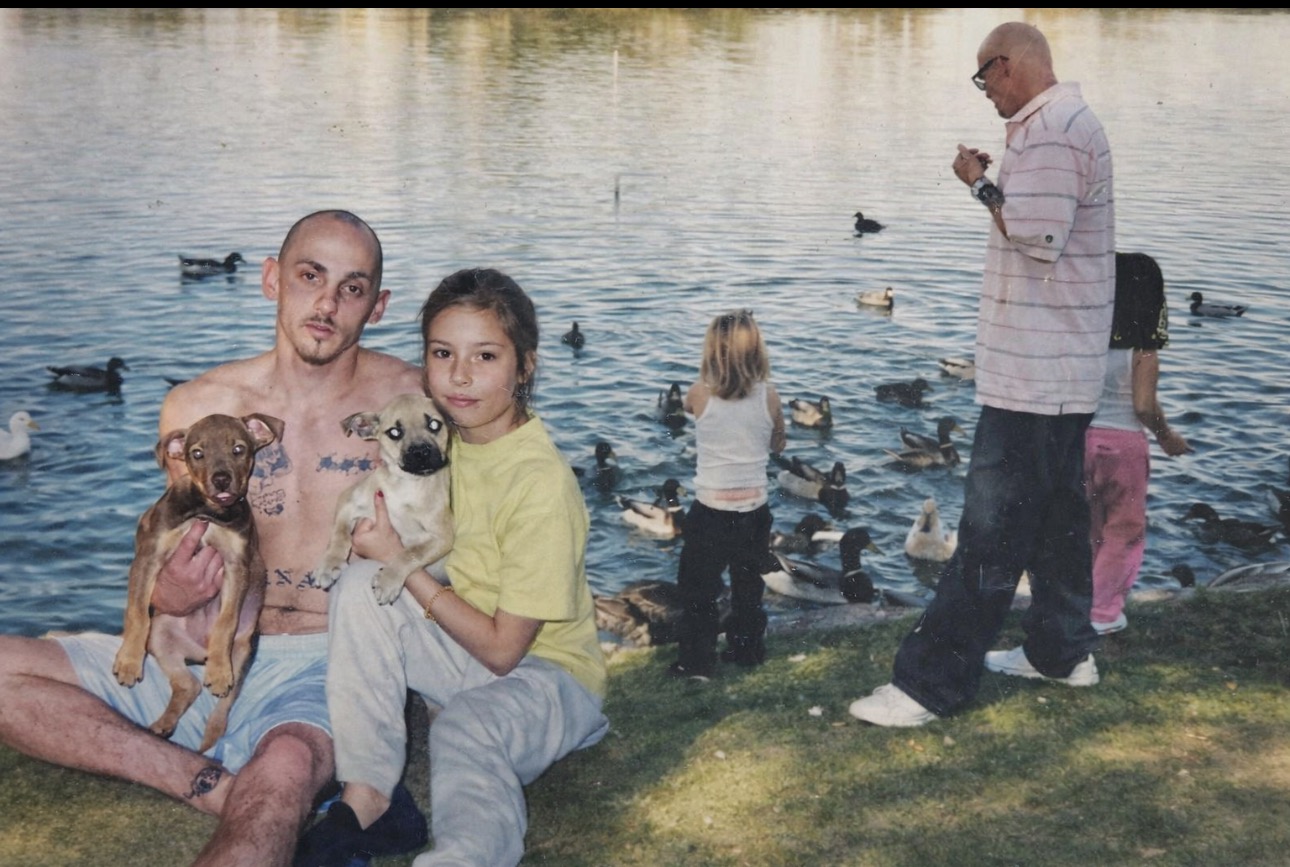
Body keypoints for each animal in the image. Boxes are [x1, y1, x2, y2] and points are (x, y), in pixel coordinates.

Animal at [112, 412, 284, 752]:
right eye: (197, 453)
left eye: (238, 449)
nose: (221, 480)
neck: (208, 511)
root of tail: (197, 653)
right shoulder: (149, 557)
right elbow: (137, 613)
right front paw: (128, 662)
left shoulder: (236, 565)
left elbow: (225, 621)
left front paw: (217, 669)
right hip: (160, 635)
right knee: (187, 685)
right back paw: (163, 724)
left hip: (243, 651)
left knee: (222, 706)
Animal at [315, 393, 454, 604]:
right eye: (395, 432)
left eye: (434, 424)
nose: (421, 452)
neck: (406, 483)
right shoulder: (348, 500)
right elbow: (340, 534)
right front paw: (331, 564)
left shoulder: (443, 536)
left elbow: (410, 554)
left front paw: (388, 579)